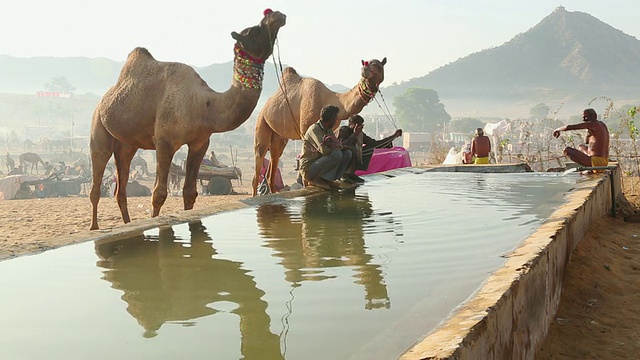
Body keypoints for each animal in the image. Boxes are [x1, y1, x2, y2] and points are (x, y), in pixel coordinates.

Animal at [88, 9, 288, 231]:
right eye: (254, 31)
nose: (277, 15)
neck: (203, 104)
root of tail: (104, 99)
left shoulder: (200, 143)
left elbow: (190, 192)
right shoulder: (164, 142)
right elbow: (159, 194)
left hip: (126, 145)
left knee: (120, 188)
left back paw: (127, 223)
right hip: (98, 128)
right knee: (96, 180)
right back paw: (94, 228)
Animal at [252, 57, 388, 195]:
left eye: (379, 66)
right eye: (366, 64)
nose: (365, 70)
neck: (329, 99)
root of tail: (265, 106)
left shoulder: (330, 130)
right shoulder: (305, 129)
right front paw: (310, 185)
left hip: (279, 136)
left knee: (273, 162)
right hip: (262, 122)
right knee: (260, 154)